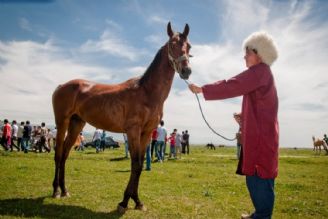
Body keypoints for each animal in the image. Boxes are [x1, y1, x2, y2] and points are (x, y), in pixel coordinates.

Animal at [51, 22, 192, 212]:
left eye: (189, 46)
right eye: (172, 44)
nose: (186, 71)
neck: (147, 92)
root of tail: (61, 86)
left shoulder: (147, 133)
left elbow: (140, 164)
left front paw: (137, 201)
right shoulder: (133, 131)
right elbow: (135, 163)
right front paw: (124, 202)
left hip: (76, 124)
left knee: (65, 153)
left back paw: (65, 190)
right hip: (62, 122)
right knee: (58, 154)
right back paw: (56, 191)